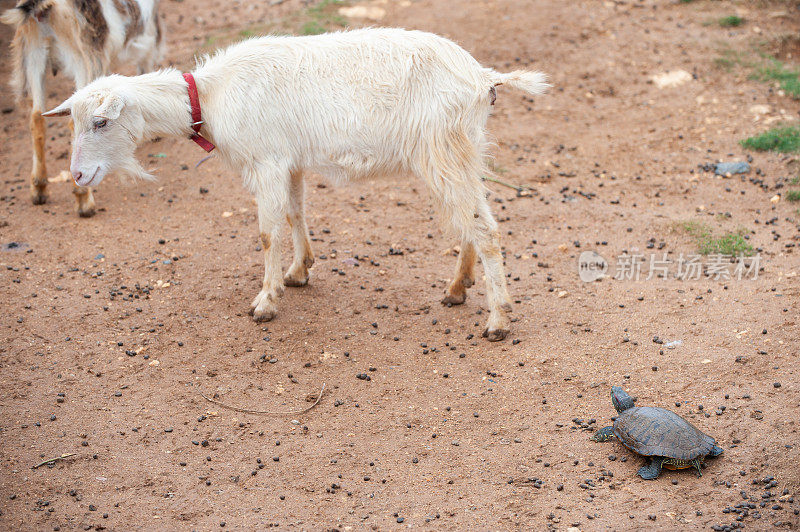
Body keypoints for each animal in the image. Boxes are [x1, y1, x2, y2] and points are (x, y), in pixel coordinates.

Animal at [1, 0, 164, 216]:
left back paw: (39, 189)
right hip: (83, 57)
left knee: (37, 117)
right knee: (74, 120)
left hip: (32, 55)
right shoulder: (148, 35)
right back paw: (84, 200)